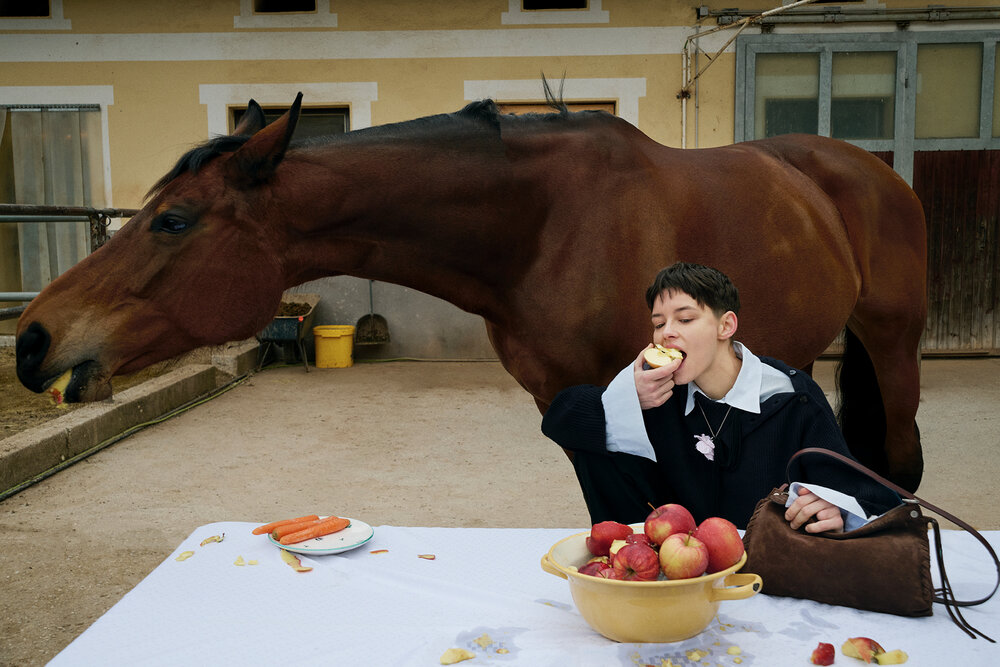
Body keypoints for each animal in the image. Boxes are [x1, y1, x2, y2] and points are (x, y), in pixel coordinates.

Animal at [15, 92, 927, 492]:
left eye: (172, 220)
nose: (31, 339)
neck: (546, 223)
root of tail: (867, 168)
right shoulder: (574, 402)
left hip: (892, 340)